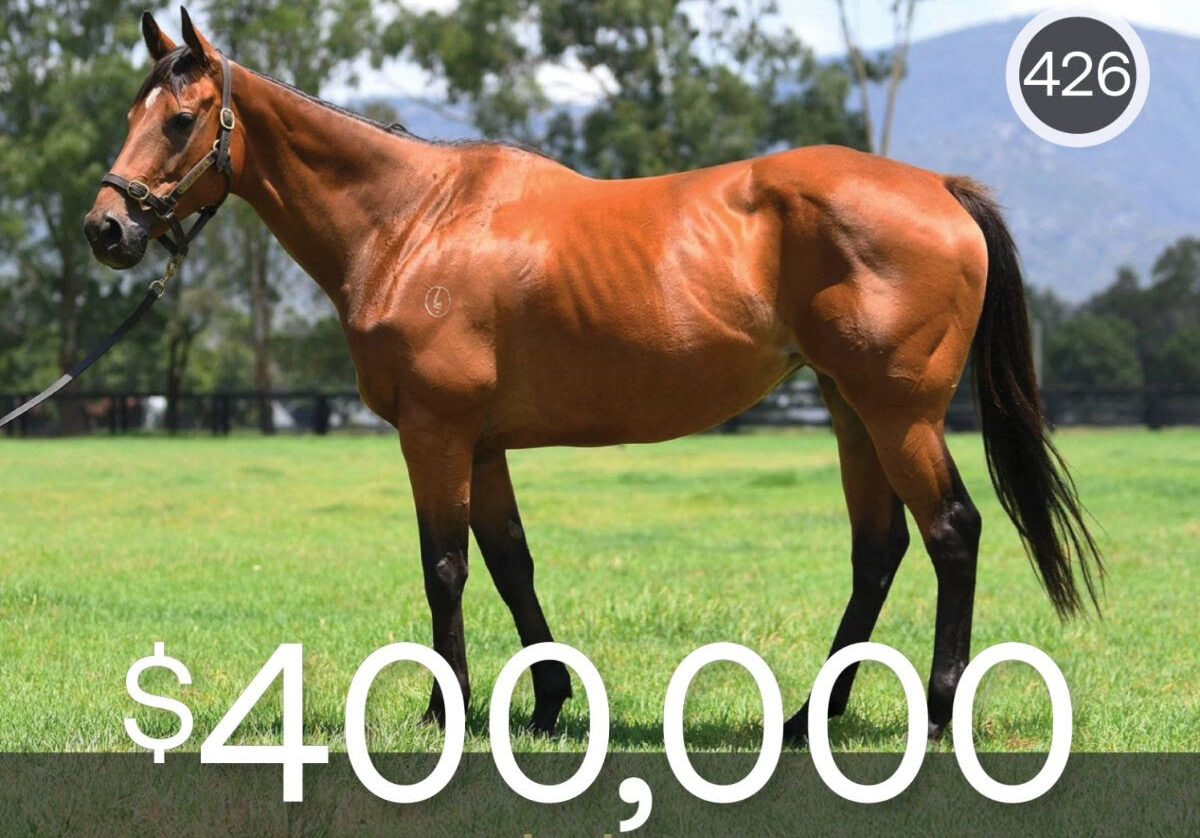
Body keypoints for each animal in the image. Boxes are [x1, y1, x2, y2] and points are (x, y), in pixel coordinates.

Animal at [85, 10, 1102, 745]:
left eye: (180, 121)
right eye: (132, 115)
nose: (107, 228)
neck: (412, 220)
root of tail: (939, 188)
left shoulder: (435, 432)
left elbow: (444, 567)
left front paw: (444, 712)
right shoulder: (480, 443)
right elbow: (510, 562)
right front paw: (545, 703)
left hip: (900, 415)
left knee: (952, 532)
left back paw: (935, 711)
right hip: (852, 410)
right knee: (879, 548)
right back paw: (809, 716)